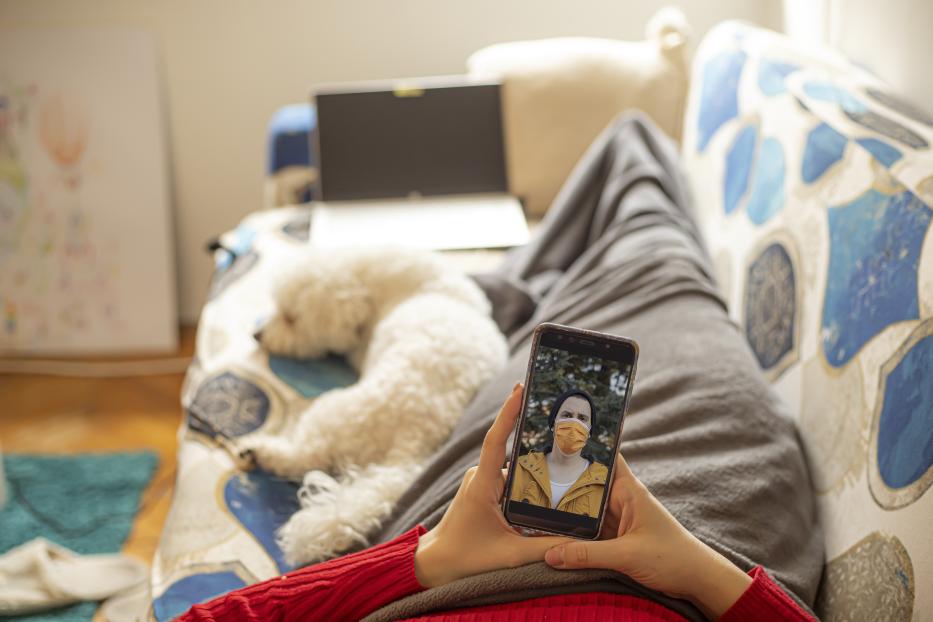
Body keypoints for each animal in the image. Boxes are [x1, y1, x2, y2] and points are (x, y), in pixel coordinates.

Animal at [240, 246, 502, 568]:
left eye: (291, 318)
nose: (257, 335)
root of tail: (411, 440)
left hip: (330, 411)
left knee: (304, 455)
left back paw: (260, 450)